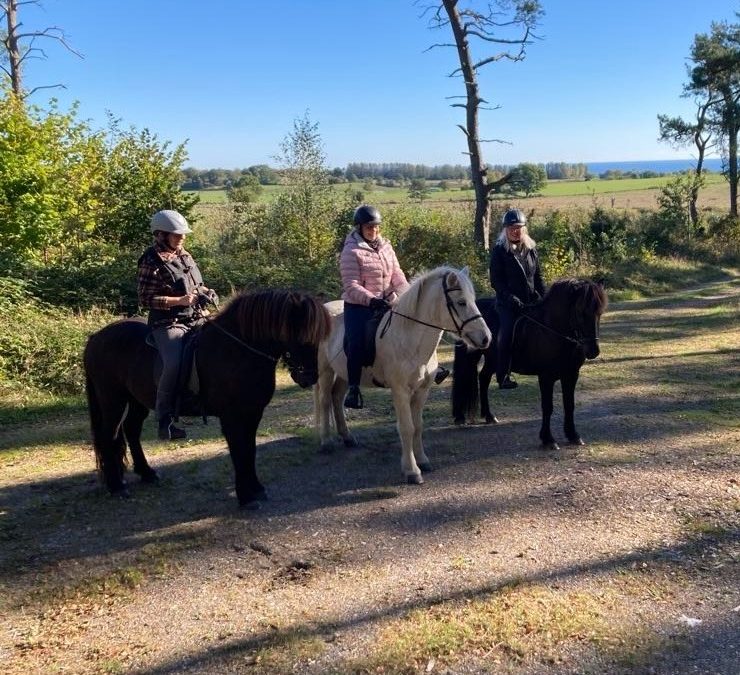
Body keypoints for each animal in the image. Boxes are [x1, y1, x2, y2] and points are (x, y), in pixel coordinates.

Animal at [82, 290, 330, 508]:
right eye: (300, 334)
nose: (309, 376)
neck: (236, 351)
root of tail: (95, 338)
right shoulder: (232, 417)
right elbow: (239, 451)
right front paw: (246, 497)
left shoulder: (252, 413)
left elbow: (250, 450)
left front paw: (256, 489)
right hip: (112, 400)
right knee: (109, 435)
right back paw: (116, 486)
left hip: (136, 400)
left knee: (131, 430)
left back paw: (147, 473)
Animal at [314, 266, 492, 484]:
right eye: (461, 302)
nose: (486, 338)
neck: (409, 339)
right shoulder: (400, 390)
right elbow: (407, 428)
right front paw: (411, 471)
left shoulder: (422, 390)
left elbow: (418, 426)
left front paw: (423, 460)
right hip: (325, 370)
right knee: (325, 401)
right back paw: (326, 442)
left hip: (344, 373)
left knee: (337, 398)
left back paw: (347, 437)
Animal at [450, 278, 608, 452]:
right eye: (580, 311)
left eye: (599, 312)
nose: (593, 351)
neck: (552, 331)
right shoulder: (546, 377)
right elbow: (547, 407)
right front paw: (548, 439)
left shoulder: (571, 375)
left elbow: (569, 405)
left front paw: (573, 435)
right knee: (465, 378)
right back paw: (460, 417)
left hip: (492, 359)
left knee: (483, 378)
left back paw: (489, 416)